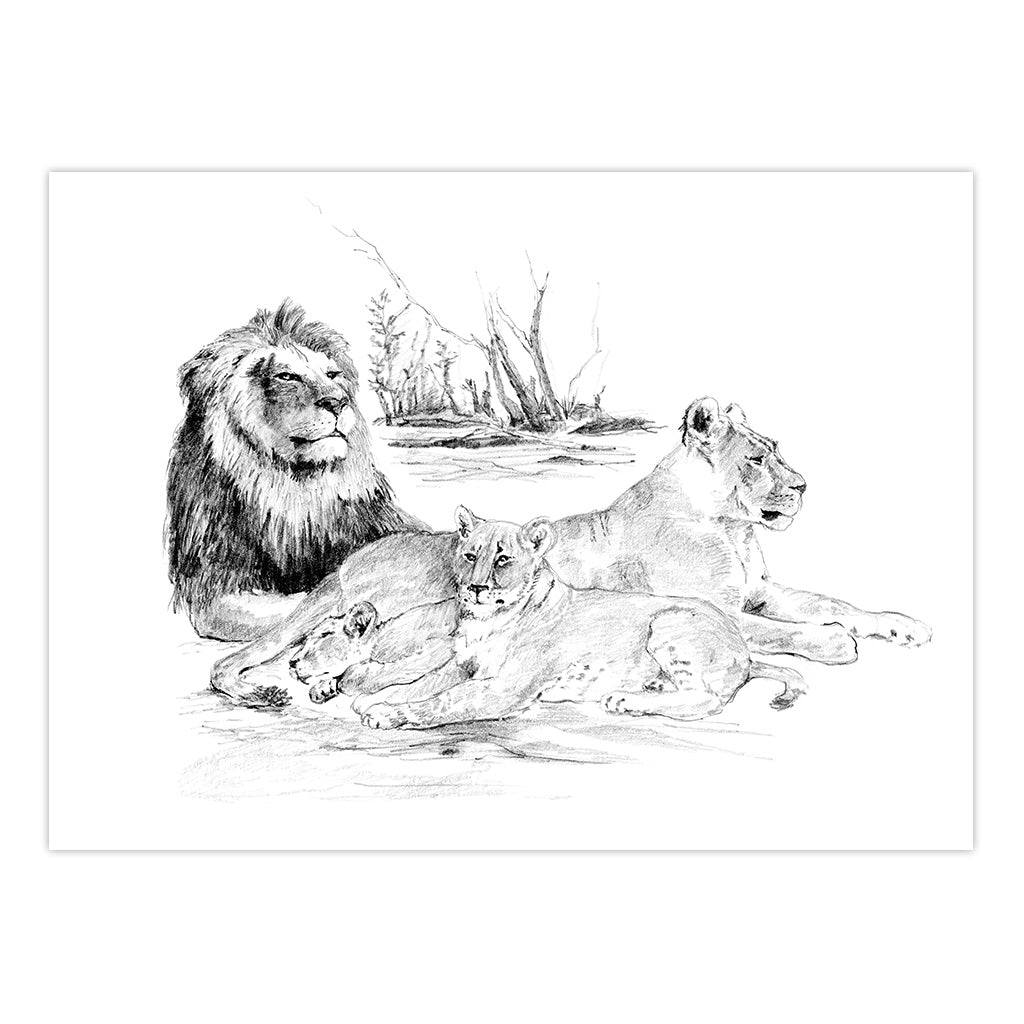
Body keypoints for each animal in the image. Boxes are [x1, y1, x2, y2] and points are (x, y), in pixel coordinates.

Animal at [166, 299, 422, 640]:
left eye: (333, 374)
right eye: (287, 376)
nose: (337, 402)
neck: (296, 489)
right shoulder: (215, 590)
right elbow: (308, 603)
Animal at [210, 397, 931, 704]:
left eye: (775, 450)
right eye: (756, 458)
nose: (805, 485)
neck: (727, 523)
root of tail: (349, 563)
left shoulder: (758, 590)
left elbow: (834, 601)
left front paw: (904, 626)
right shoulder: (710, 604)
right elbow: (783, 631)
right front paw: (835, 643)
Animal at [294, 511, 806, 729]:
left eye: (503, 558)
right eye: (470, 555)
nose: (474, 588)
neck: (488, 622)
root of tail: (742, 647)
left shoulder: (503, 687)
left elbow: (444, 702)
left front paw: (386, 713)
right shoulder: (460, 664)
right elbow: (421, 683)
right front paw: (373, 699)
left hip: (669, 624)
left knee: (708, 699)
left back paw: (626, 700)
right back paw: (643, 690)